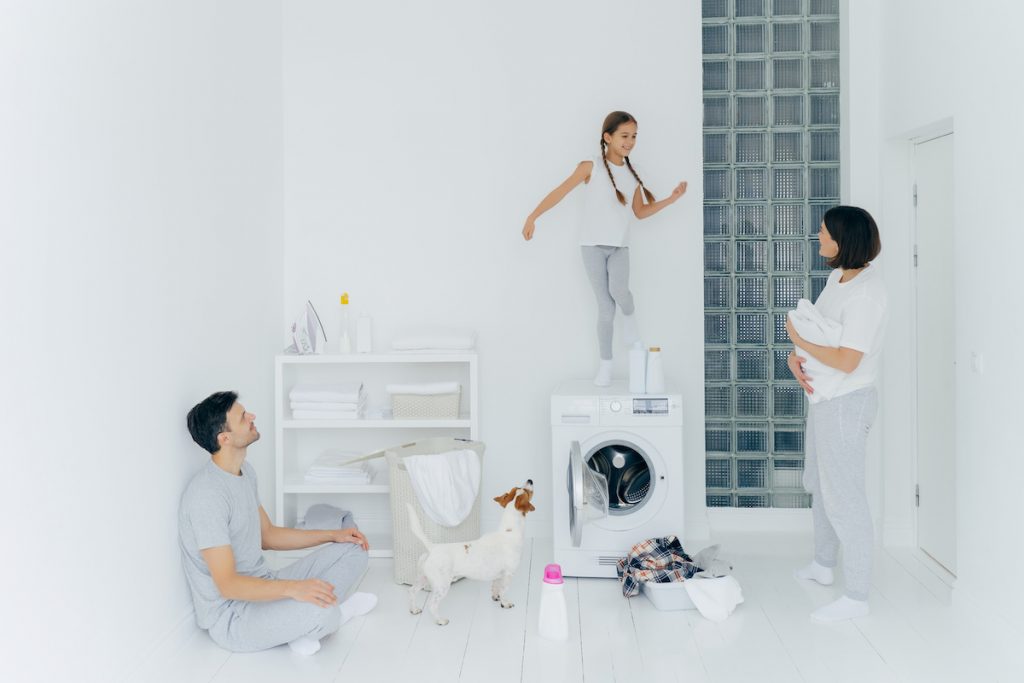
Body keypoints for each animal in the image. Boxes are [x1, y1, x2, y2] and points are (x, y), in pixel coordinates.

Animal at [407, 481, 536, 626]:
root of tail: (433, 547)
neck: (509, 531)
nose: (530, 480)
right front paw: (505, 603)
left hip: (422, 578)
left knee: (412, 591)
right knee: (432, 605)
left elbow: (495, 587)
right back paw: (440, 620)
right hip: (442, 586)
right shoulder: (508, 574)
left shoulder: (498, 575)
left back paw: (413, 609)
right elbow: (504, 590)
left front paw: (495, 597)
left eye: (518, 488)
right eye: (527, 491)